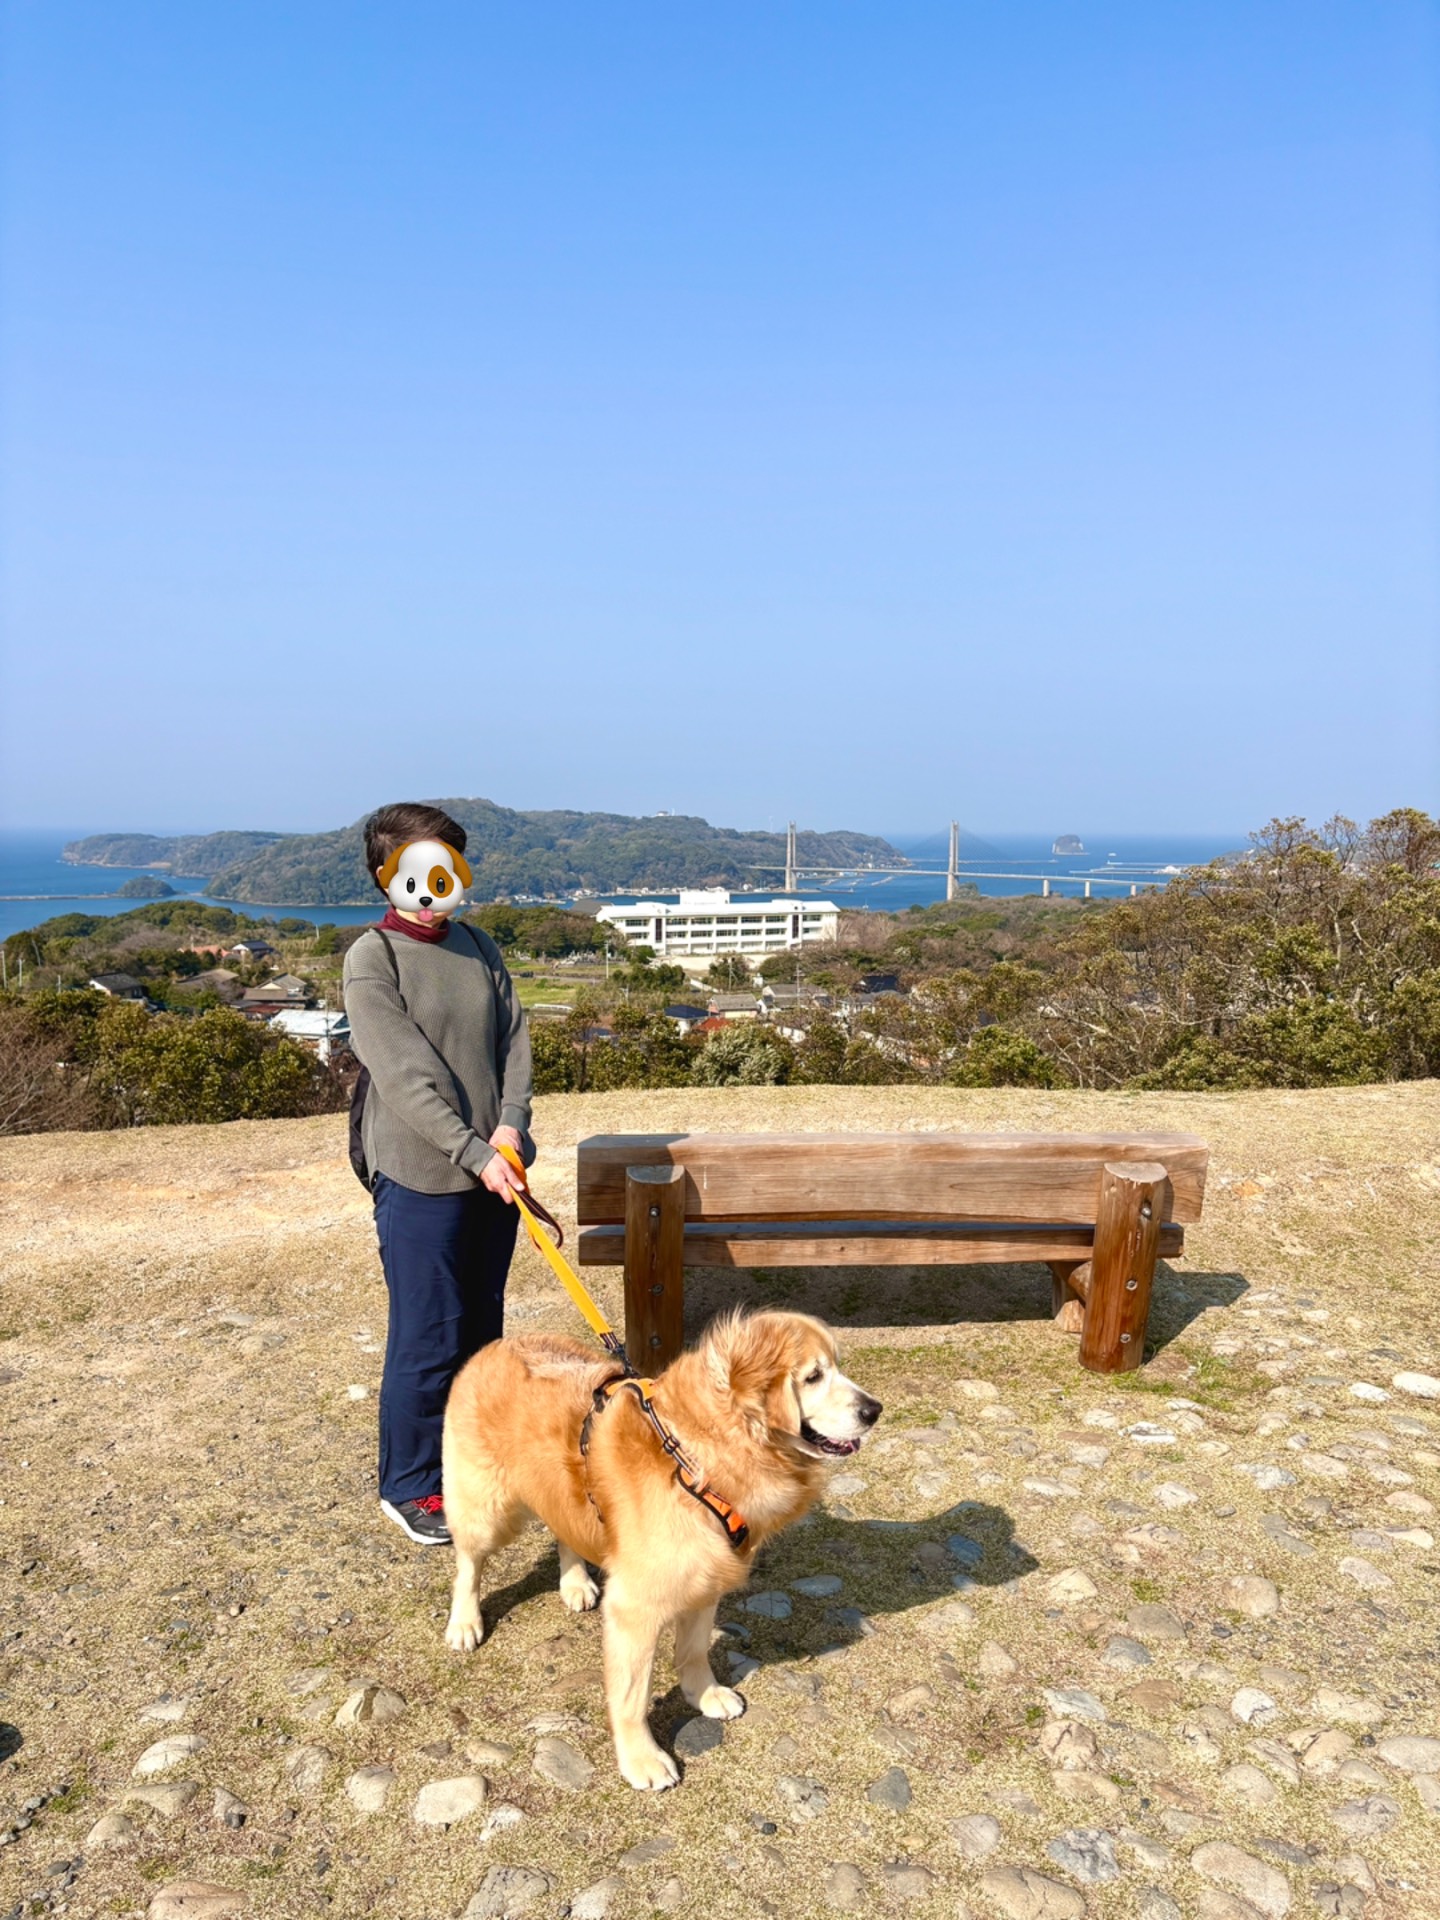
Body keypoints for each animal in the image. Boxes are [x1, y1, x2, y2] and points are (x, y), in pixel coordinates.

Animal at [441, 1310, 882, 1789]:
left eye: (836, 1366)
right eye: (813, 1376)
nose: (874, 1410)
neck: (695, 1460)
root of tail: (498, 1345)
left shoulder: (706, 1579)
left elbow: (694, 1650)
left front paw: (704, 1694)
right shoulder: (635, 1609)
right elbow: (633, 1695)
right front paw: (642, 1759)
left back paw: (575, 1583)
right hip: (488, 1511)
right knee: (468, 1562)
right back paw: (464, 1621)